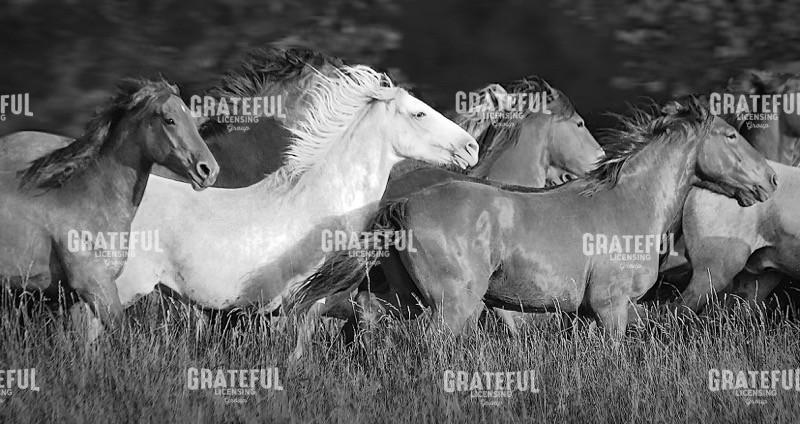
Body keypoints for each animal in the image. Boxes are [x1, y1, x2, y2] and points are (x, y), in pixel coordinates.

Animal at [0, 78, 218, 330]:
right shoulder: (96, 286)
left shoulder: (79, 297)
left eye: (194, 121)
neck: (87, 203)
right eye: (169, 119)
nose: (209, 170)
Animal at [288, 97, 777, 340]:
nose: (770, 180)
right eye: (730, 135)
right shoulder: (611, 307)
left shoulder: (606, 312)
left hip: (405, 298)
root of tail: (401, 204)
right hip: (454, 305)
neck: (629, 202)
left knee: (367, 319)